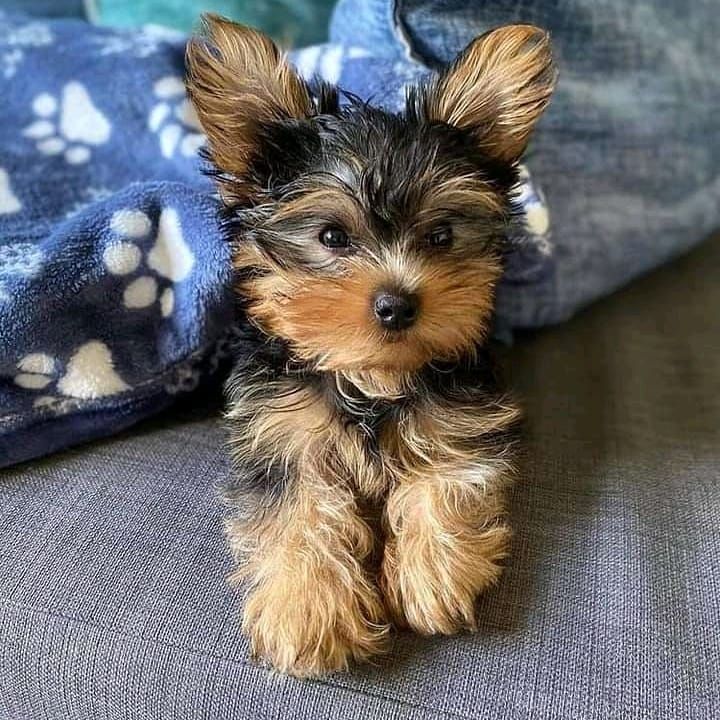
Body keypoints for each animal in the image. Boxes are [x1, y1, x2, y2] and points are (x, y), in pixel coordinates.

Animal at [187, 15, 556, 680]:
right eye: (333, 236)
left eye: (441, 235)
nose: (397, 304)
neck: (371, 375)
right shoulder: (281, 430)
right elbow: (299, 508)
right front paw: (308, 610)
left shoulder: (462, 414)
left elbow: (450, 473)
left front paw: (435, 573)